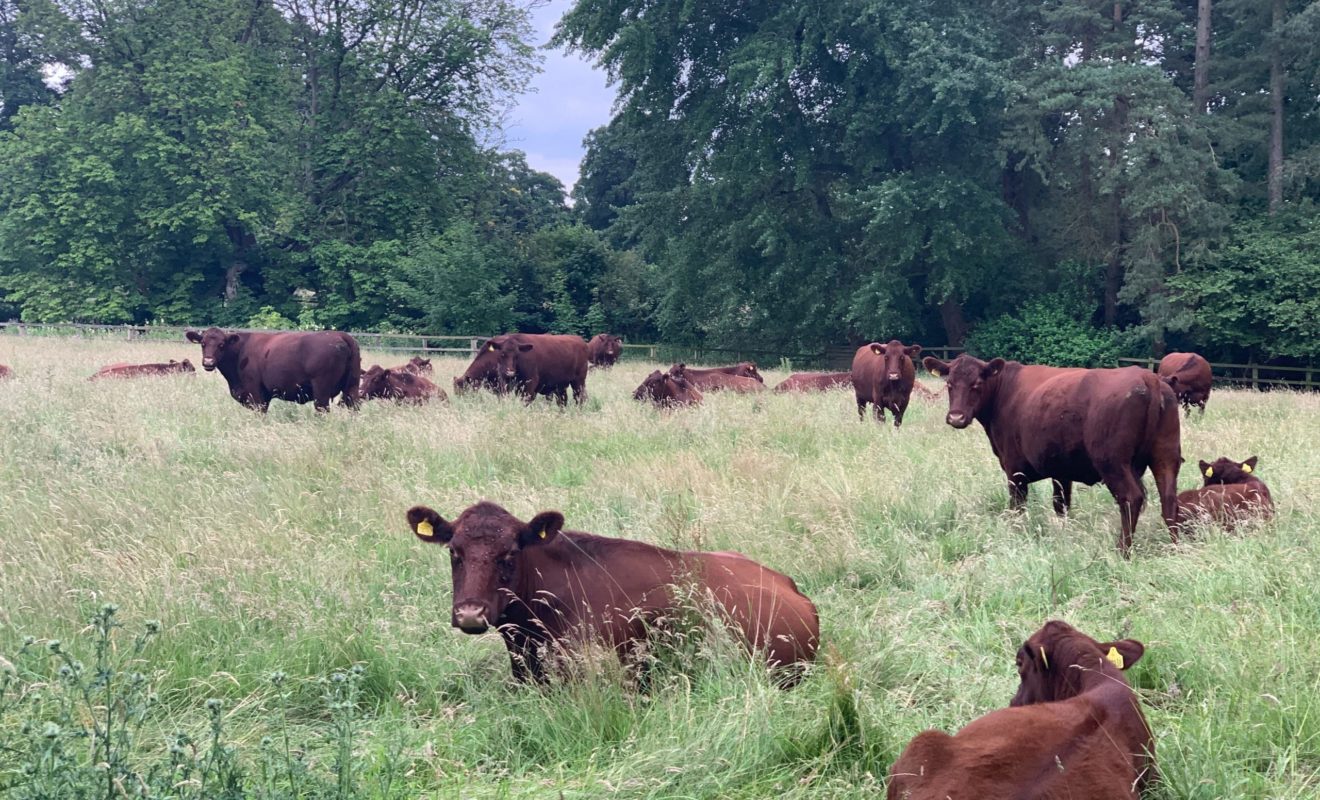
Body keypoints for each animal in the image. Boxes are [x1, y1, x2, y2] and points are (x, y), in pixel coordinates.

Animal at [186, 327, 361, 414]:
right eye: (203, 344)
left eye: (221, 344)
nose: (208, 362)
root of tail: (341, 335)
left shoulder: (256, 393)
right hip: (352, 387)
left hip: (321, 389)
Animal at [924, 353, 1182, 554]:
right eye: (949, 384)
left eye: (976, 384)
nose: (956, 417)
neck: (1003, 392)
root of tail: (1148, 377)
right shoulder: (1061, 470)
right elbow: (1061, 505)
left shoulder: (1014, 470)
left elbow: (1017, 507)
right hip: (1166, 455)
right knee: (1169, 499)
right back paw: (1175, 548)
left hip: (1112, 462)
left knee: (1131, 498)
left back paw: (1122, 550)